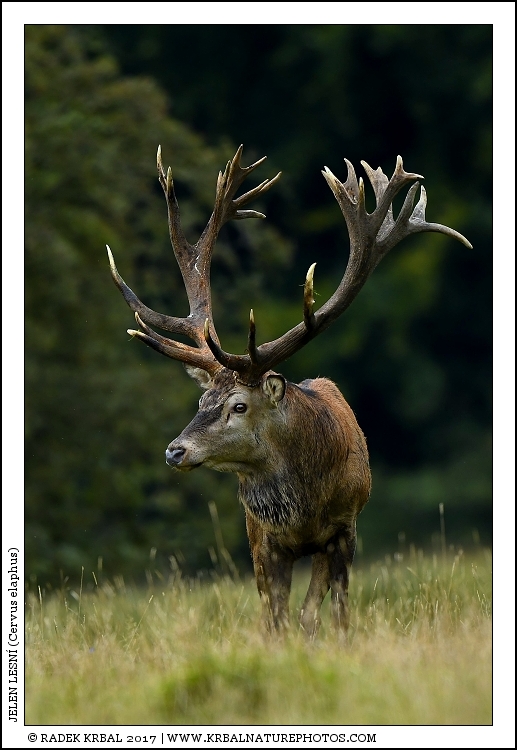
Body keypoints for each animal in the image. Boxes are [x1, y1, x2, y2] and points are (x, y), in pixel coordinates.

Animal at [107, 145, 471, 636]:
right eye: (202, 401)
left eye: (239, 406)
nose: (175, 450)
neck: (303, 506)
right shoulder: (263, 541)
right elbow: (276, 615)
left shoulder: (343, 529)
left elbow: (326, 611)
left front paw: (335, 639)